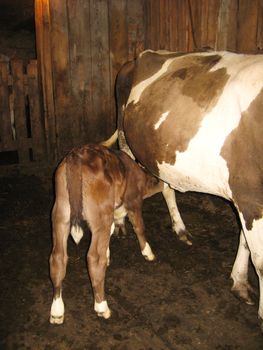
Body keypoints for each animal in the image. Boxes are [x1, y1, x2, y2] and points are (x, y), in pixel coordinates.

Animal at [49, 144, 164, 324]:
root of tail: (76, 155)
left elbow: (110, 233)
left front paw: (109, 254)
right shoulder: (134, 201)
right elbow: (139, 227)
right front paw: (148, 252)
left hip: (60, 214)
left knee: (58, 257)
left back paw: (57, 311)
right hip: (100, 214)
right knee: (94, 257)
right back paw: (102, 306)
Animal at [118, 50, 263, 330]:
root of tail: (142, 54)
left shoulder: (245, 198)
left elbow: (246, 242)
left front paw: (239, 281)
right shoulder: (250, 198)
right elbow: (260, 260)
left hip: (161, 152)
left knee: (166, 187)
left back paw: (180, 228)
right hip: (125, 139)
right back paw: (119, 223)